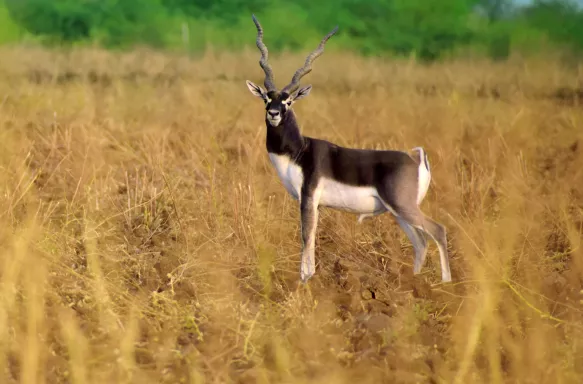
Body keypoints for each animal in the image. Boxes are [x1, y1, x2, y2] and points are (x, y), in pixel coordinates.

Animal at [244, 15, 454, 284]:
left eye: (288, 101)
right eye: (267, 99)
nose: (274, 114)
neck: (299, 151)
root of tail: (416, 158)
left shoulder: (308, 198)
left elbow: (306, 237)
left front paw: (305, 281)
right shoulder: (316, 204)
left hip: (403, 206)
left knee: (437, 230)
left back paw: (445, 284)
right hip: (398, 211)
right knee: (421, 242)